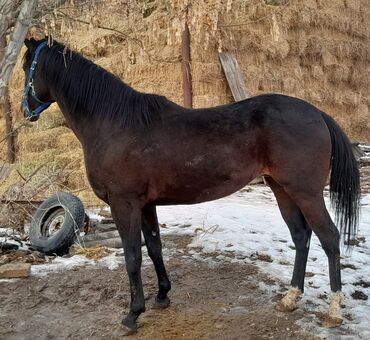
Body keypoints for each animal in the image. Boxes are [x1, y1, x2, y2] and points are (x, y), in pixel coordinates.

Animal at [21, 37, 360, 334]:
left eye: (27, 66)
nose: (25, 111)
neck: (114, 123)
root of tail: (317, 113)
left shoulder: (124, 204)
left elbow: (132, 257)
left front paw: (133, 315)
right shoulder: (146, 205)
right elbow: (154, 248)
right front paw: (162, 296)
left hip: (306, 192)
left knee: (329, 238)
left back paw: (334, 311)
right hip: (281, 189)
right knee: (301, 237)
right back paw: (290, 298)